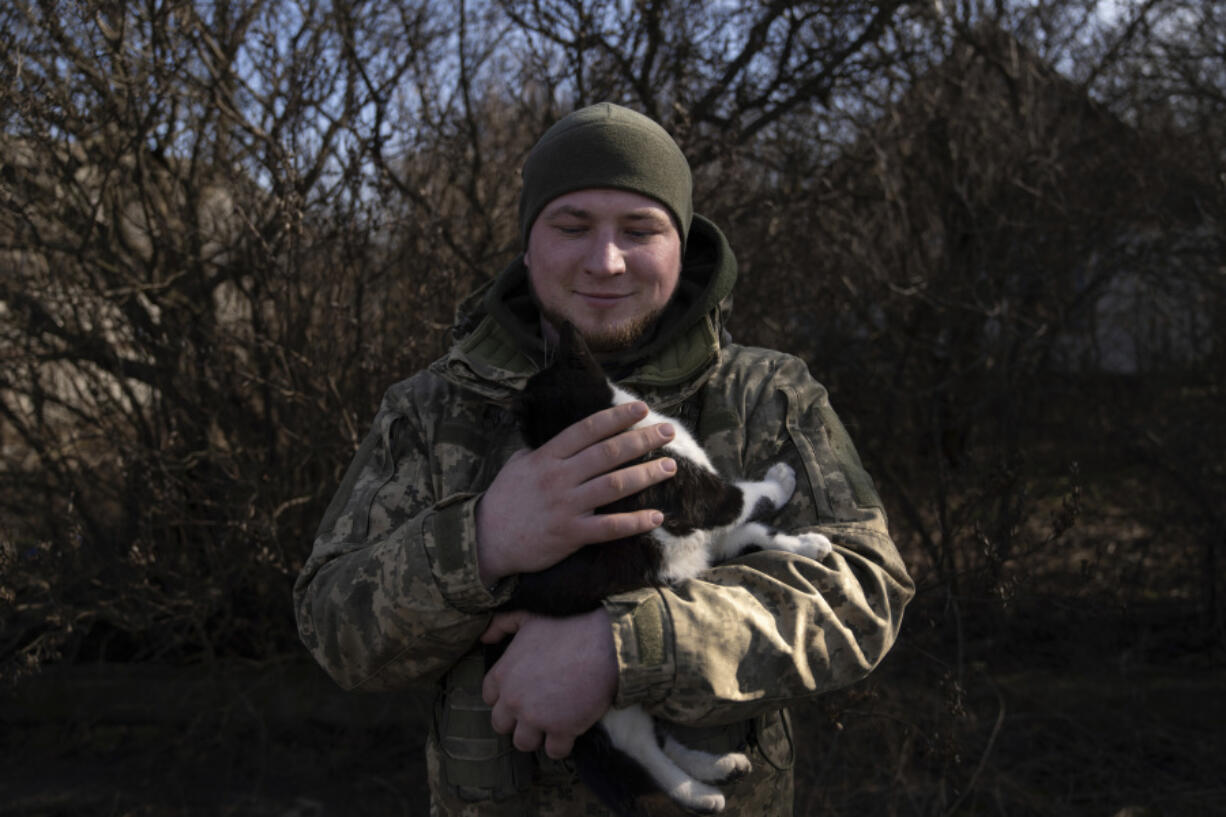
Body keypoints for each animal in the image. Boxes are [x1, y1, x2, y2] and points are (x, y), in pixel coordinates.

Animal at [497, 323, 833, 814]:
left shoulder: (709, 539)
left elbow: (757, 535)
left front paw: (806, 544)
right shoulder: (694, 496)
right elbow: (745, 498)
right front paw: (781, 480)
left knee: (659, 735)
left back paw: (718, 766)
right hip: (597, 705)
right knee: (641, 753)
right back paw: (701, 793)